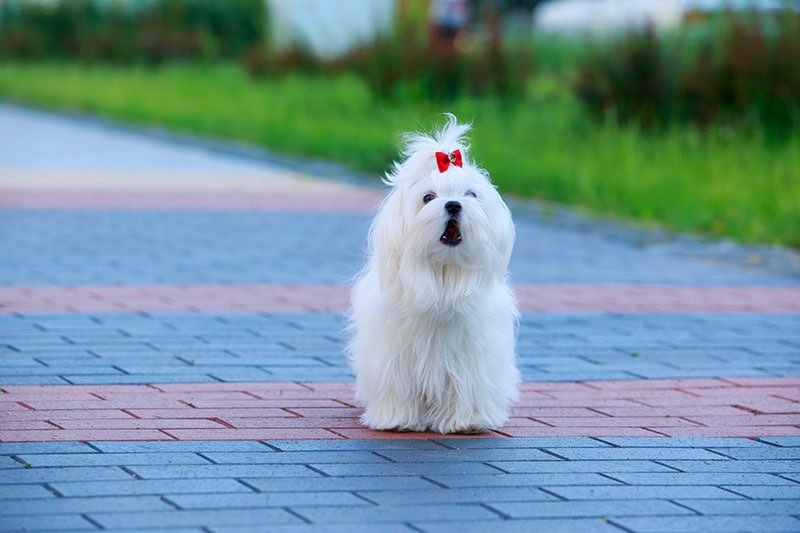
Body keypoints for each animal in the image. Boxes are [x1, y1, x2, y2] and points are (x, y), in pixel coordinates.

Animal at [348, 113, 520, 432]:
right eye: (428, 197)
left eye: (471, 195)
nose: (453, 205)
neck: (443, 275)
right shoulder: (394, 353)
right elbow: (397, 384)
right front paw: (398, 419)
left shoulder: (472, 357)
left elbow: (466, 386)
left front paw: (465, 421)